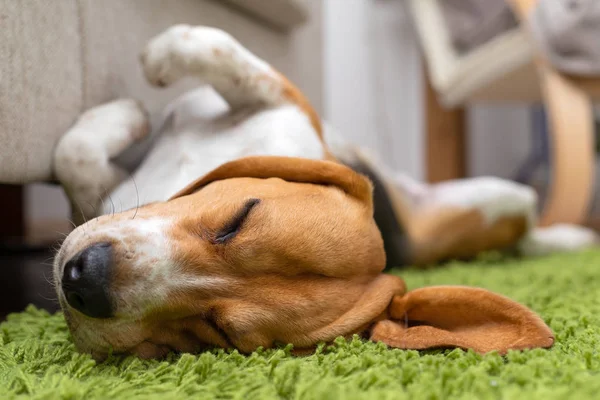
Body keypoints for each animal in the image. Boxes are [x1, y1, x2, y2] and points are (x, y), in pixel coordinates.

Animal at [52, 26, 584, 360]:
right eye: (239, 218)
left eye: (218, 330)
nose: (83, 280)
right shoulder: (284, 107)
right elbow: (209, 46)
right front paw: (132, 103)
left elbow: (74, 156)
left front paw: (140, 86)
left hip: (497, 198)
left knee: (529, 226)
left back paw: (569, 240)